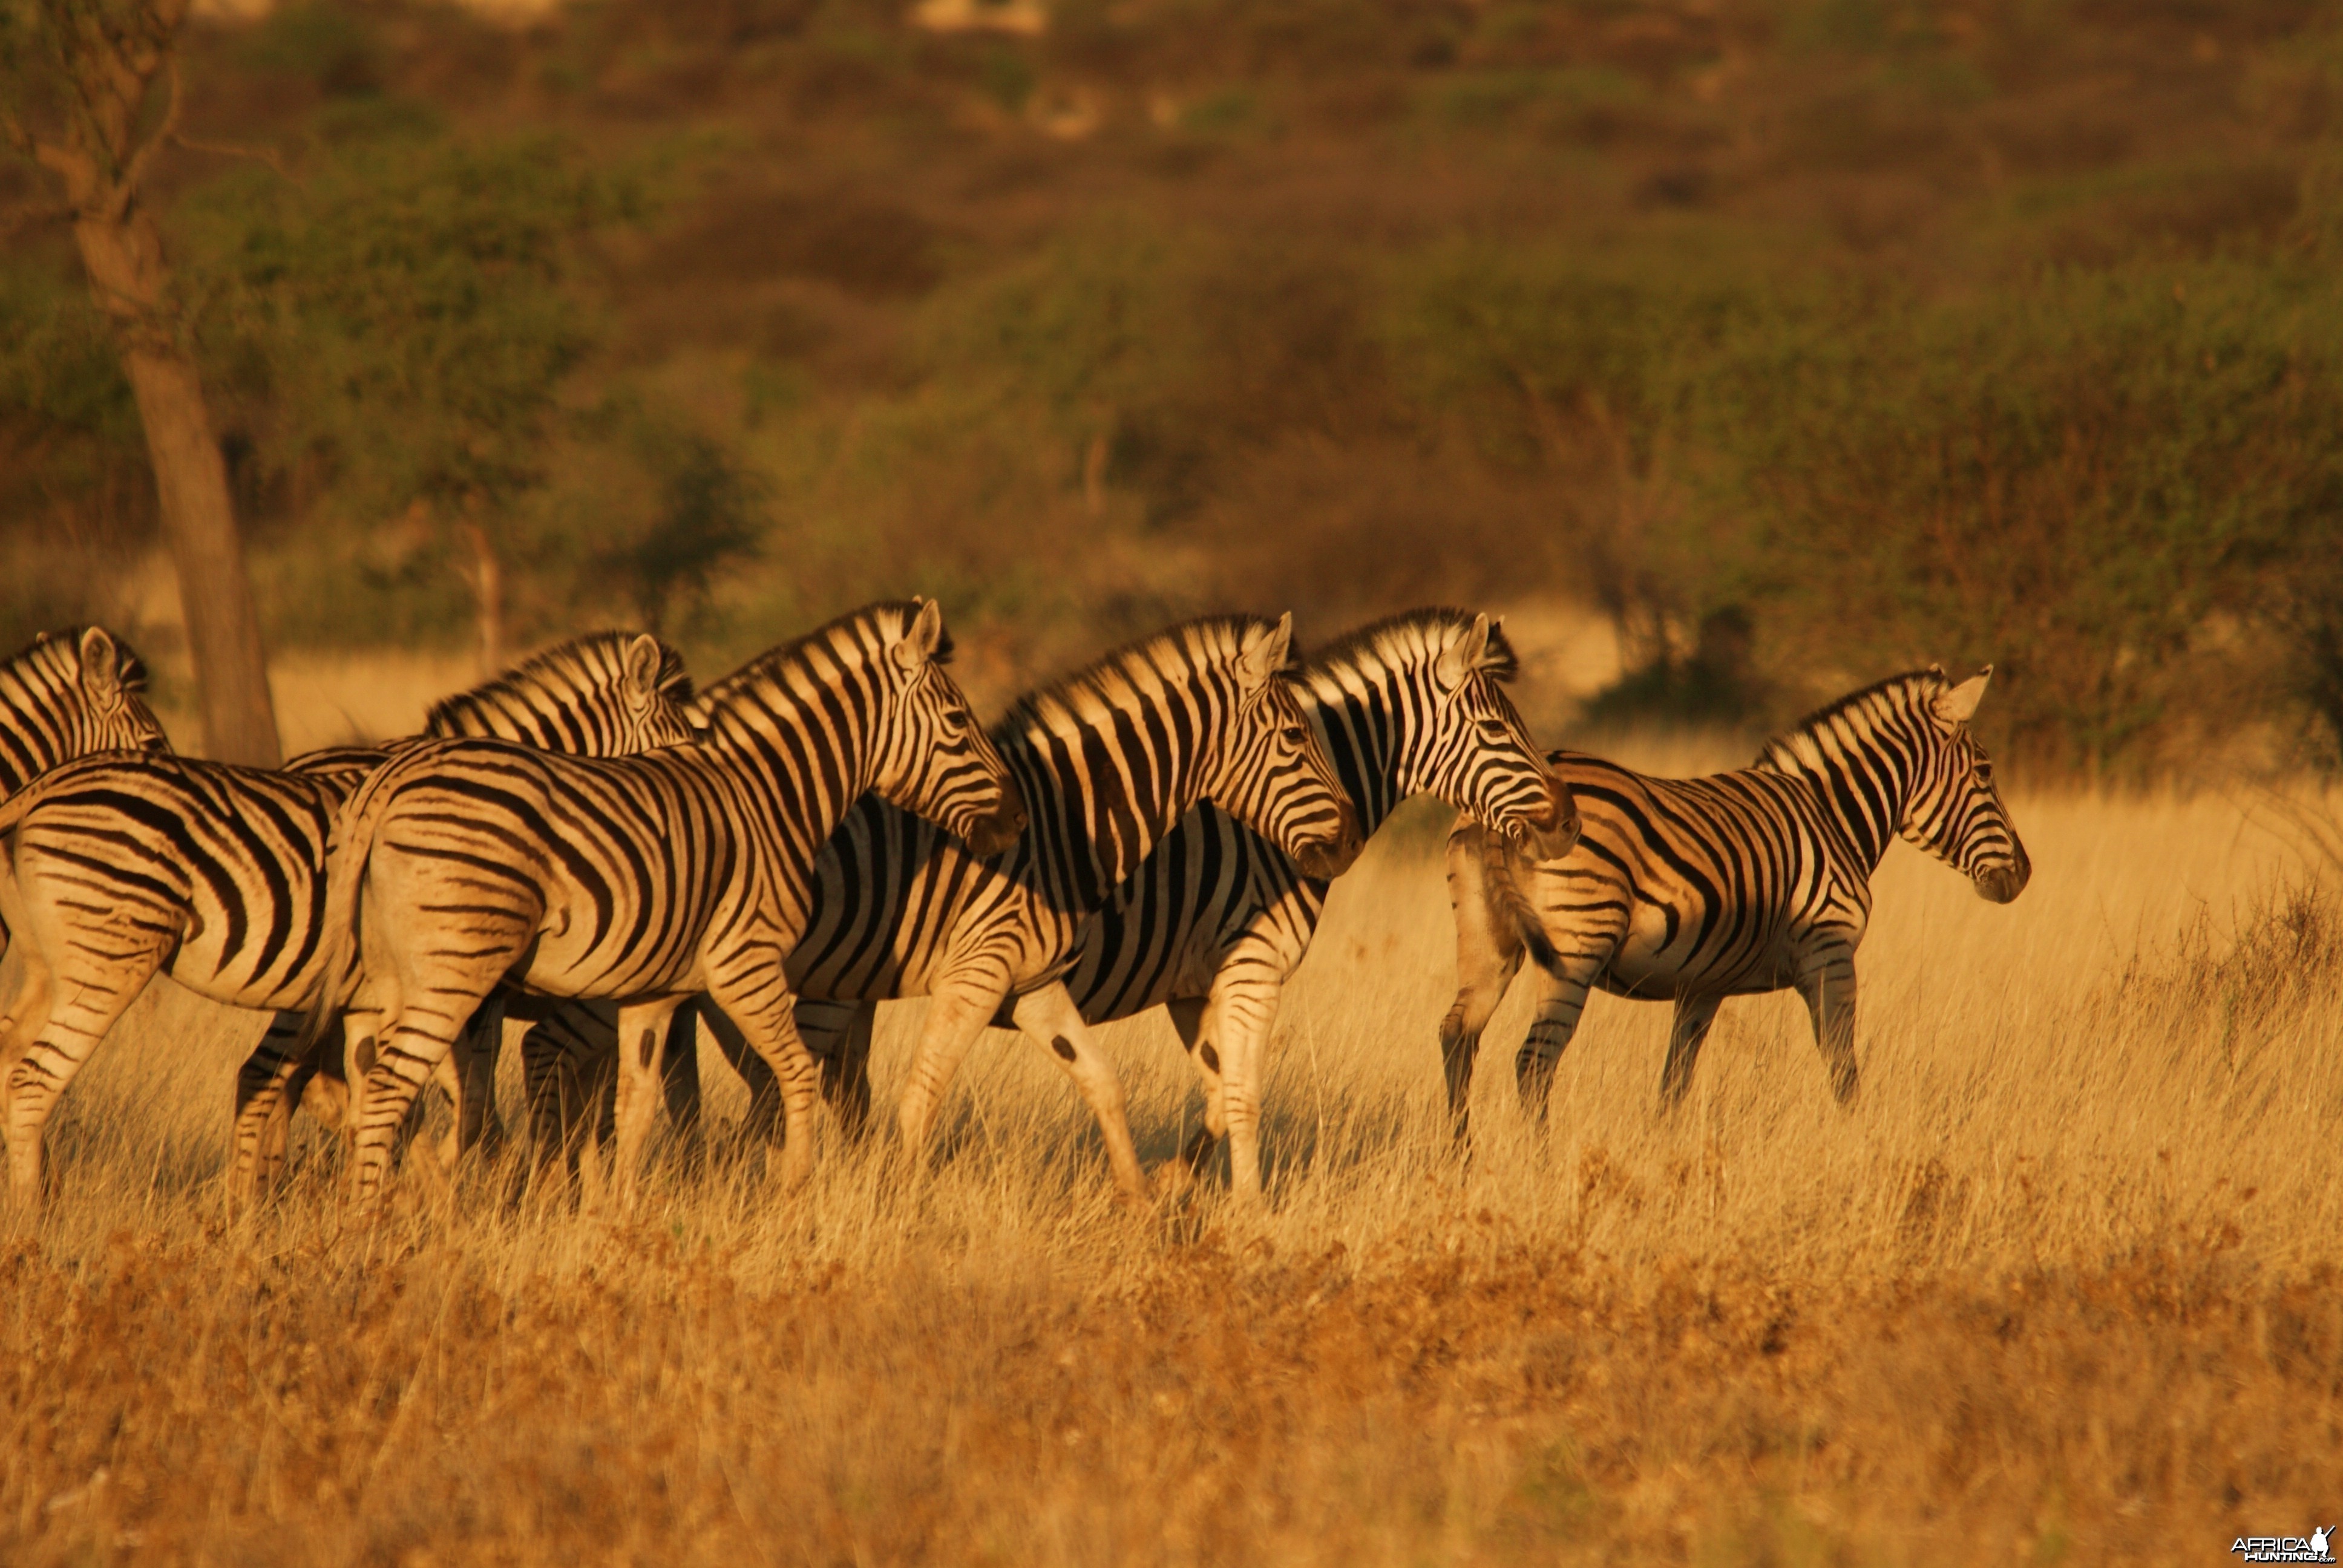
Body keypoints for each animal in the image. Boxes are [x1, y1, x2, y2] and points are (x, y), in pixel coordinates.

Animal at [515, 609, 1368, 1200]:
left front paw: (1140, 1204)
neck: (1067, 825)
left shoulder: (1028, 983)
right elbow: (920, 1100)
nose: (1350, 841)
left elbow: (1101, 1081)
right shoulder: (975, 972)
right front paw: (890, 1206)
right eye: (1296, 737)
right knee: (561, 1059)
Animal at [1434, 661, 2024, 1125]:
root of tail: (1497, 813)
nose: (2024, 873)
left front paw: (1663, 1156)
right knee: (1534, 1063)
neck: (1831, 815)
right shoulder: (1830, 953)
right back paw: (1541, 1165)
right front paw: (1859, 1142)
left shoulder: (1702, 986)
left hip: (1486, 941)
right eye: (1985, 771)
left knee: (1458, 1037)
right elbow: (1843, 1070)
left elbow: (1674, 1085)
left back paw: (1460, 1160)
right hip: (1577, 944)